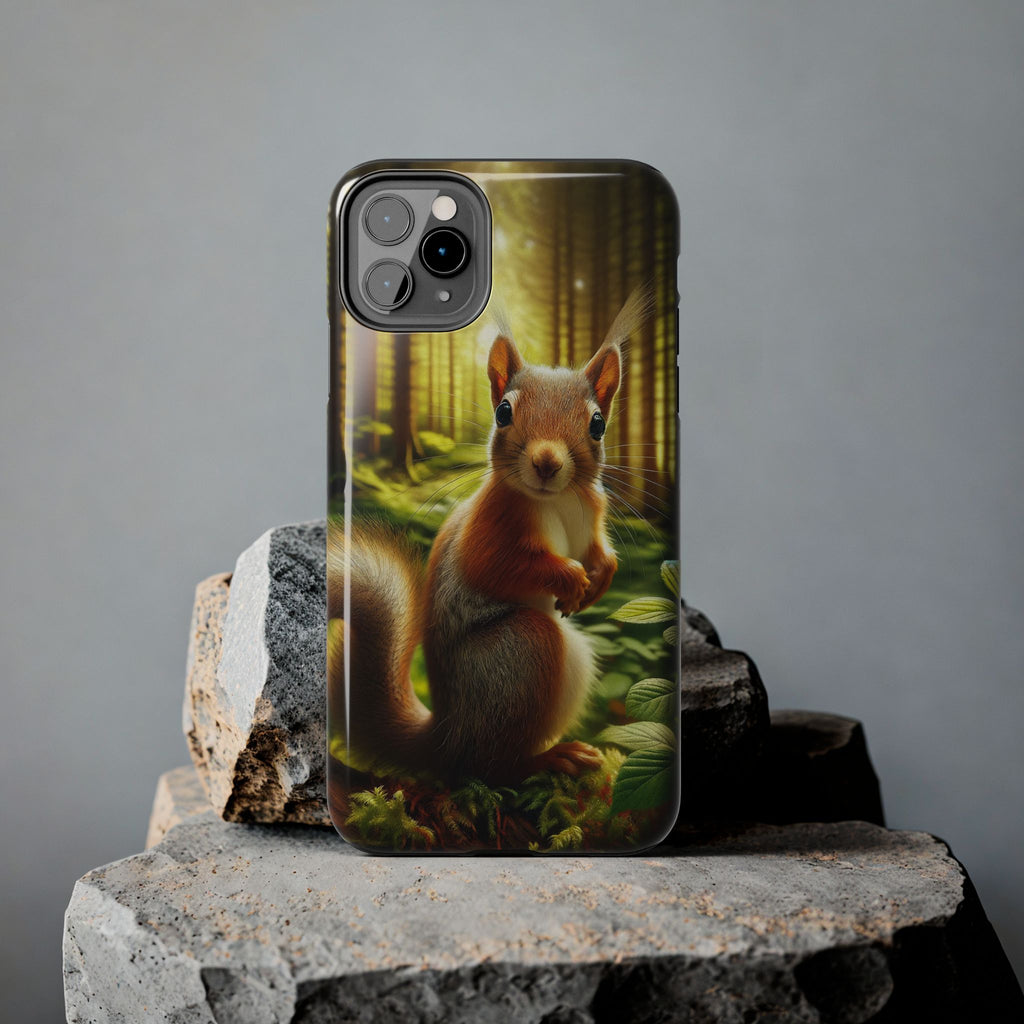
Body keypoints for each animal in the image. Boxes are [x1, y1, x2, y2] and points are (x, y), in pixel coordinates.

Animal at [329, 290, 651, 785]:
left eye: (597, 424)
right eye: (504, 412)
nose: (546, 463)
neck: (559, 500)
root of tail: (446, 737)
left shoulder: (592, 516)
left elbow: (599, 551)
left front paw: (598, 579)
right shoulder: (489, 524)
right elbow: (495, 566)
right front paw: (571, 578)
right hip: (522, 650)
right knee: (490, 766)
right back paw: (549, 759)